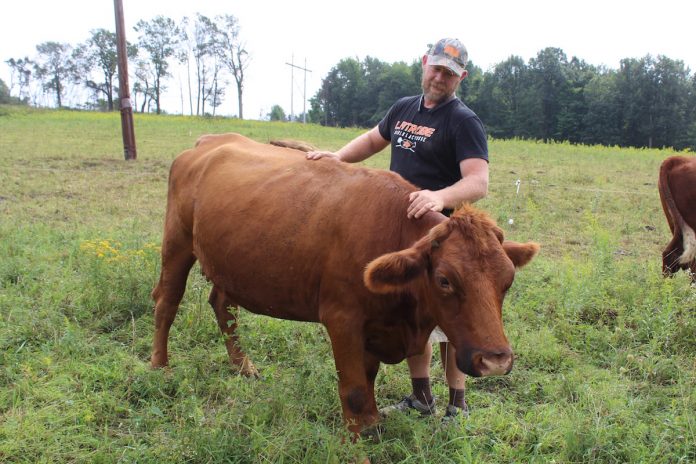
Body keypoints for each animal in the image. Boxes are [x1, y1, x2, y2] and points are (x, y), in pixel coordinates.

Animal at [152, 132, 540, 434]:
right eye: (444, 280)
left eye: (508, 281)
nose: (496, 362)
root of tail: (211, 141)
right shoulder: (342, 321)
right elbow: (353, 393)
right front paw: (363, 441)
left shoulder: (374, 331)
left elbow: (367, 384)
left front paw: (375, 425)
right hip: (177, 243)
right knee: (167, 302)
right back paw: (160, 368)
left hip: (228, 262)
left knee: (222, 304)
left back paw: (243, 366)